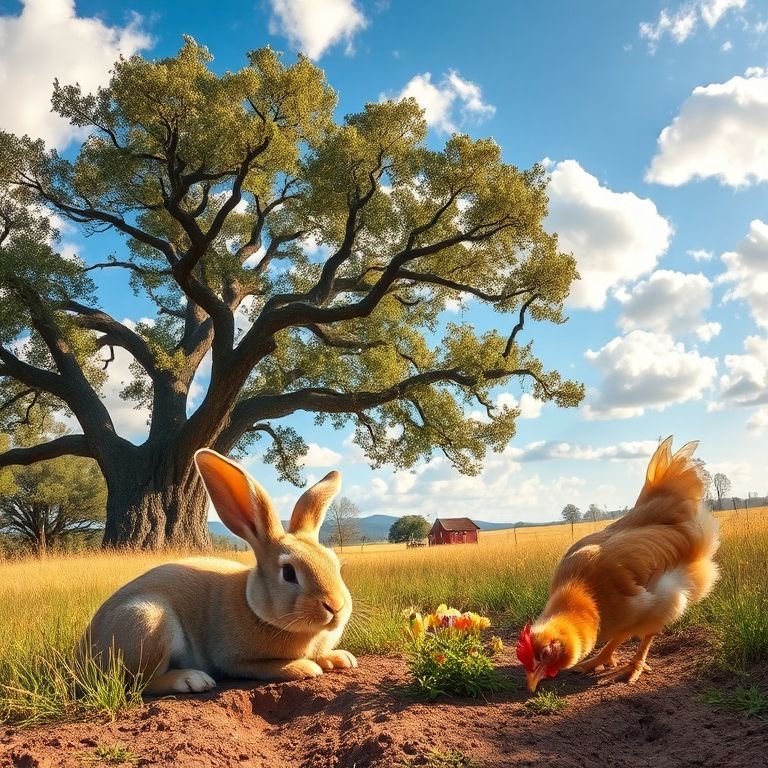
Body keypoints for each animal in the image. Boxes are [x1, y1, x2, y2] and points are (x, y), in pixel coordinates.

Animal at [82, 448, 356, 695]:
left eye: (335, 563)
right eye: (289, 573)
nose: (336, 606)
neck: (252, 606)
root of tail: (84, 654)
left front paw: (341, 658)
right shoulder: (234, 660)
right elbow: (265, 667)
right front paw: (305, 668)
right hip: (147, 620)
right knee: (138, 683)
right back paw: (192, 679)